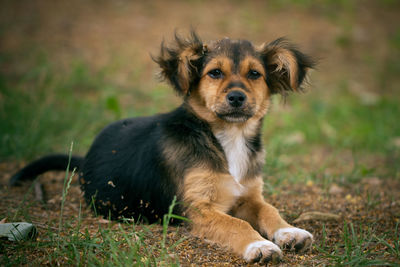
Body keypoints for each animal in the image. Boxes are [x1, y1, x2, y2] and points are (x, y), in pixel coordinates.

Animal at [9, 31, 314, 264]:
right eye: (215, 73)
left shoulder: (248, 195)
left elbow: (269, 210)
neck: (228, 137)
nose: (237, 97)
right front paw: (259, 245)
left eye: (255, 74)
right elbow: (236, 223)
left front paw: (290, 232)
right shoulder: (195, 209)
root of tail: (83, 160)